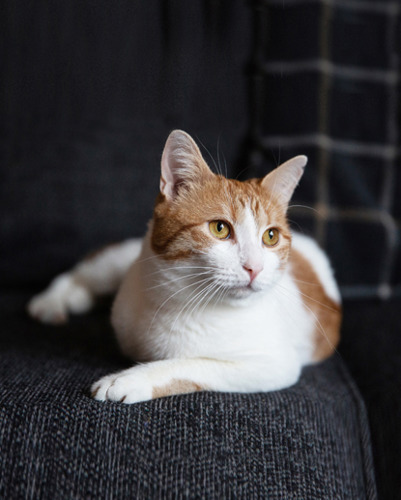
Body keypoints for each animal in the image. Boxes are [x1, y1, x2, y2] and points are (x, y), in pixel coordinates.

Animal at [28, 129, 340, 402]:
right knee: (80, 272)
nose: (255, 267)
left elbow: (192, 364)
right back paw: (51, 302)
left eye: (271, 237)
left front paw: (131, 378)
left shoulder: (275, 365)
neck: (181, 302)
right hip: (118, 262)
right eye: (219, 228)